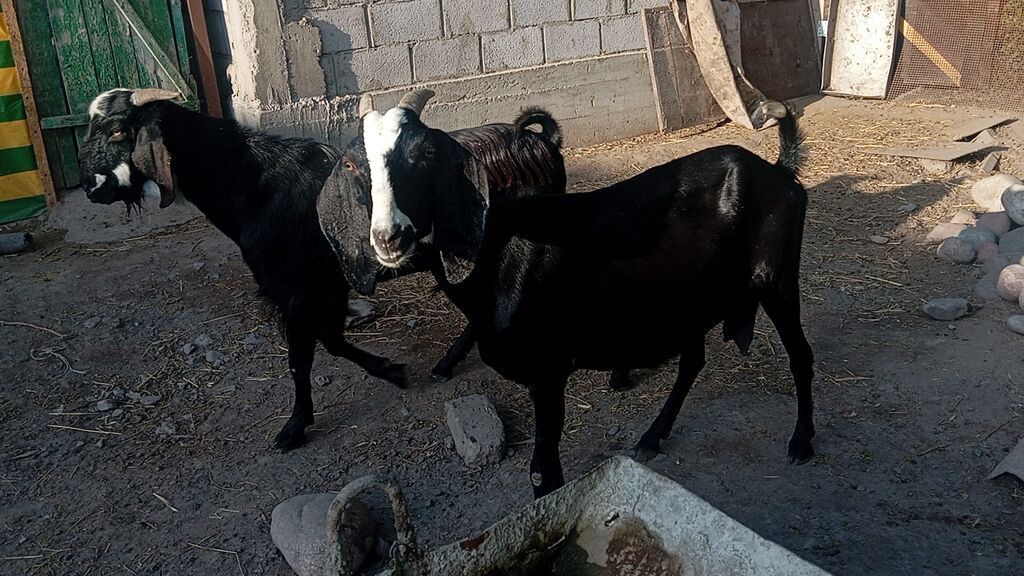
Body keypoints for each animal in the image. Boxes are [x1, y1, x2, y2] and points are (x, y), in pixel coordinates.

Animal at [320, 96, 816, 498]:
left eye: (425, 154)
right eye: (353, 165)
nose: (390, 236)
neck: (496, 251)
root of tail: (779, 170)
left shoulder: (547, 372)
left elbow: (544, 473)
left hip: (775, 279)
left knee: (800, 355)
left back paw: (802, 441)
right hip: (688, 297)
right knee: (693, 361)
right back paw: (653, 435)